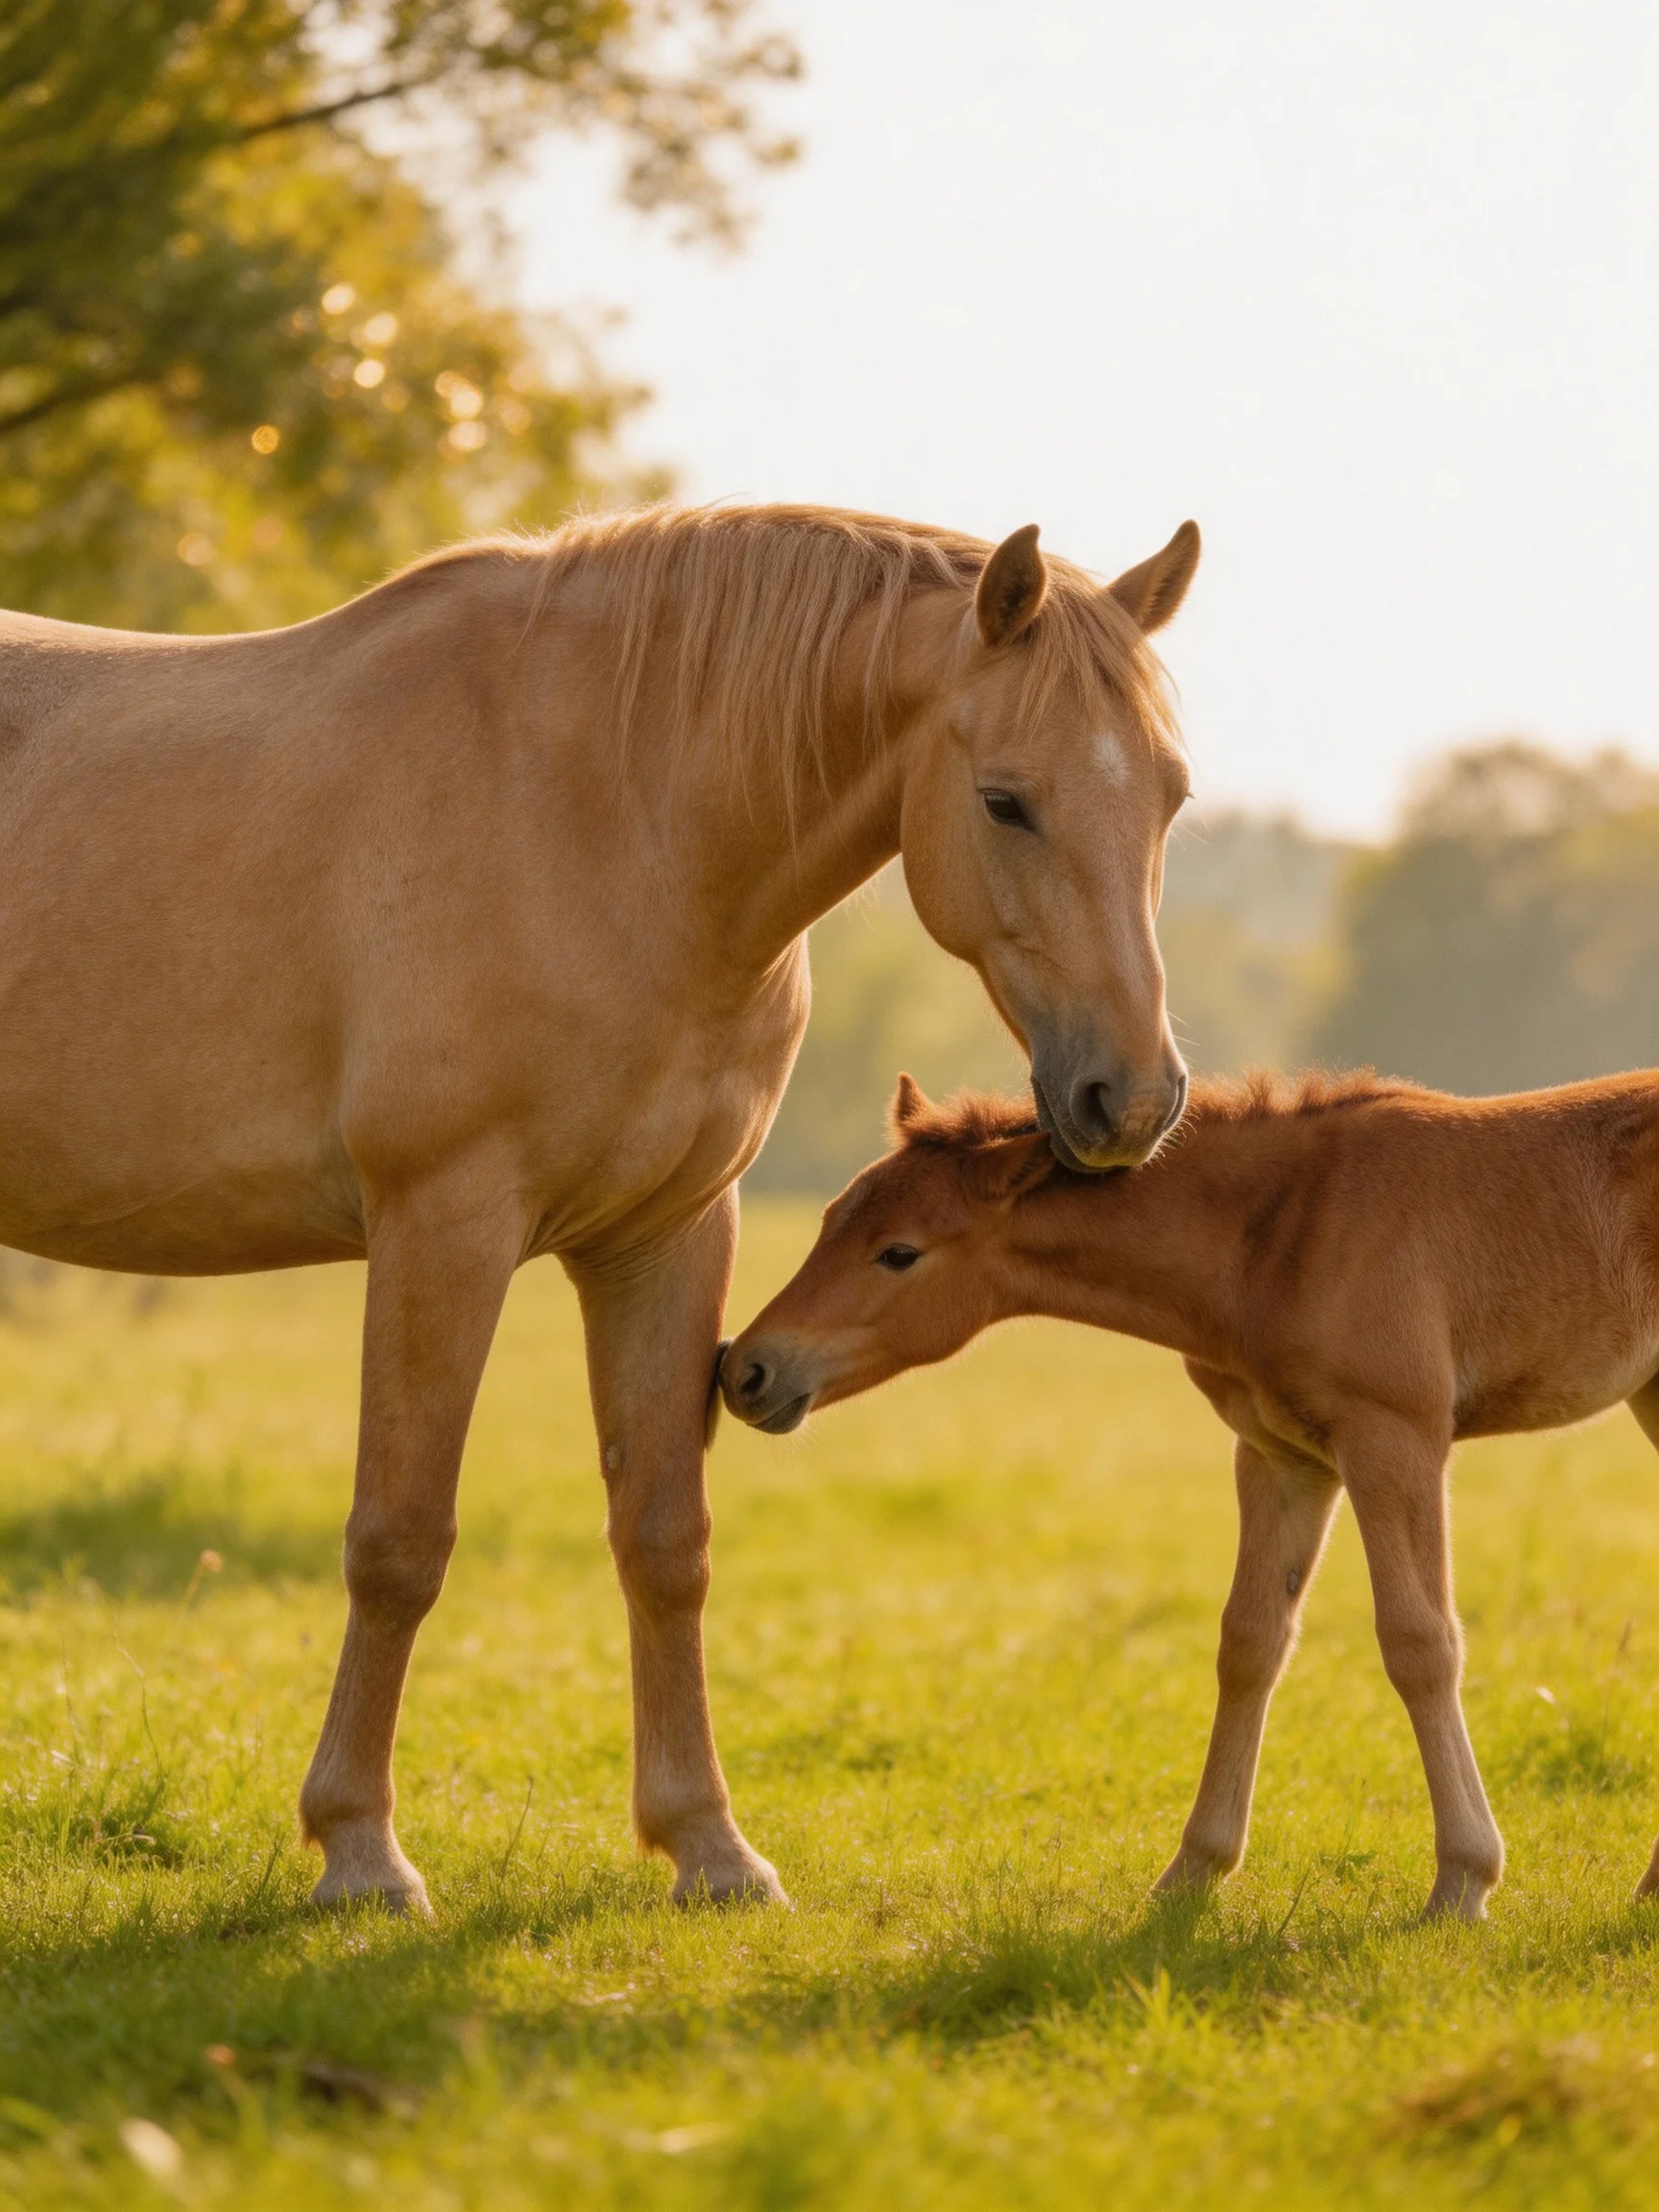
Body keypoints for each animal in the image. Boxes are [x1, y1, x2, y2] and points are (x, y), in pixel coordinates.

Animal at [0, 501, 1200, 1912]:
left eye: (1172, 795)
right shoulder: (444, 1225)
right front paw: (361, 1852)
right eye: (1007, 801)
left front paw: (709, 1847)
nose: (1134, 1099)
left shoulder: (670, 1235)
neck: (606, 815)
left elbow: (666, 1539)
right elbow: (399, 1541)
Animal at [722, 1068, 1659, 1920]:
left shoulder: (1394, 1438)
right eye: (829, 1223)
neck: (1284, 1232)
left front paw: (1462, 1881)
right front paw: (1193, 1873)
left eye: (899, 1252)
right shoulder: (1281, 1457)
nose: (744, 1370)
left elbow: (1419, 1643)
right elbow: (1250, 1642)